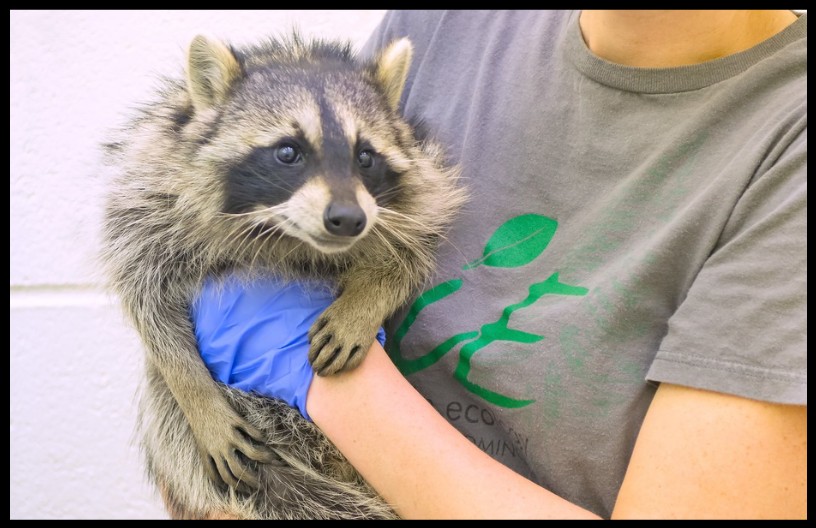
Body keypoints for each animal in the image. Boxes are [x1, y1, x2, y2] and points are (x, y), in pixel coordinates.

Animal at [100, 33, 465, 519]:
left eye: (365, 156)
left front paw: (368, 297)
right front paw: (195, 391)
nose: (349, 219)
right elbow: (144, 295)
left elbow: (413, 242)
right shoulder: (150, 185)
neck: (288, 239)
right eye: (288, 152)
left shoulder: (423, 182)